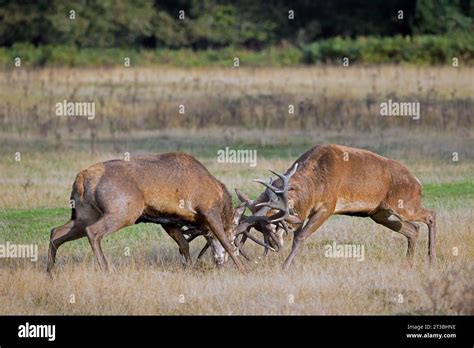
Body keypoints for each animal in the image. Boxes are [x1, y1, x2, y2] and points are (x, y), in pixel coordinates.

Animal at [46, 154, 246, 274]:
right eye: (234, 234)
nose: (219, 261)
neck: (219, 196)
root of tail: (81, 179)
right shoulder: (208, 209)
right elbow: (225, 243)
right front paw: (243, 268)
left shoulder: (167, 220)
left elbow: (183, 245)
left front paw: (189, 268)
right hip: (122, 211)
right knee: (93, 232)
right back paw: (106, 269)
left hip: (83, 214)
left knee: (56, 232)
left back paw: (50, 272)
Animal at [234, 145, 436, 268]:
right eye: (260, 229)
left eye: (272, 224)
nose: (274, 244)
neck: (313, 187)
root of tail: (417, 182)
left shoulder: (328, 206)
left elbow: (301, 236)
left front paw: (286, 265)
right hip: (380, 213)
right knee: (413, 229)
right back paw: (409, 262)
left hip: (405, 204)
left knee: (430, 215)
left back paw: (431, 258)